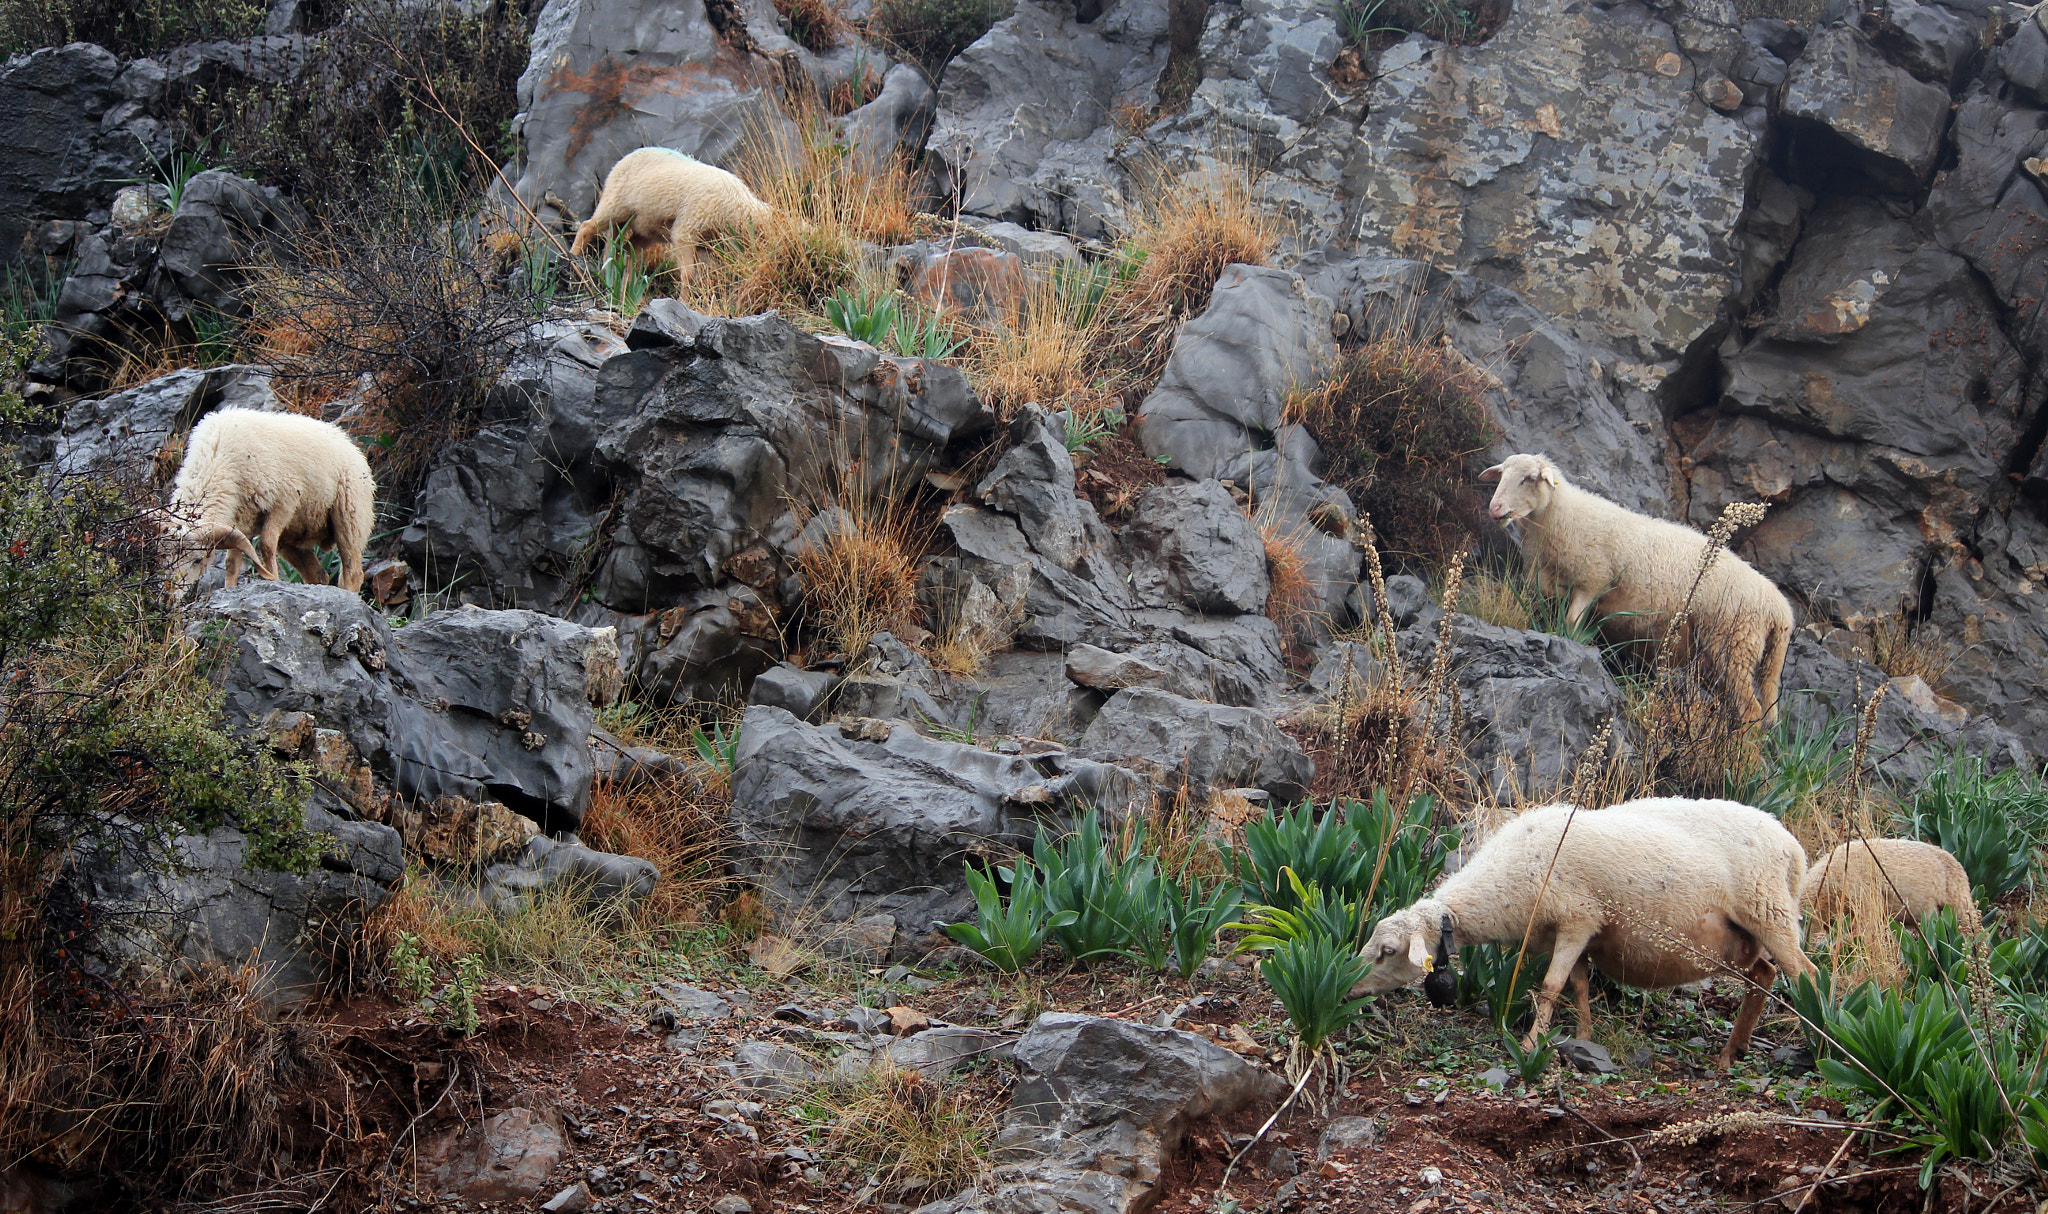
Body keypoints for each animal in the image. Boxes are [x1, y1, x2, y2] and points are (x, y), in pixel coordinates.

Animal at [166, 408, 376, 594]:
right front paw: (229, 589)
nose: (173, 595)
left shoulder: (286, 499)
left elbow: (266, 545)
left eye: (197, 559)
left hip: (350, 515)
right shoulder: (241, 519)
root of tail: (349, 443)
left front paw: (272, 579)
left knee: (353, 571)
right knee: (318, 575)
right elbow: (232, 561)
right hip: (295, 537)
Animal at [568, 147, 773, 285]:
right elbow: (688, 274)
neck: (735, 205)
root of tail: (626, 156)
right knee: (587, 226)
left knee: (626, 248)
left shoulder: (707, 242)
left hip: (644, 228)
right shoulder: (687, 229)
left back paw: (621, 277)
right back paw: (574, 257)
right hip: (616, 204)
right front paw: (685, 300)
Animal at [1353, 796, 1815, 1067]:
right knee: (1764, 975)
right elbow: (1577, 986)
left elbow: (1551, 986)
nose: (1350, 988)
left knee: (1804, 975)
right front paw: (1583, 1036)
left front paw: (1530, 1045)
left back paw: (1818, 1044)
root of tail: (1793, 848)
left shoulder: (1579, 918)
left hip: (1768, 910)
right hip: (1738, 939)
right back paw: (1731, 1052)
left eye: (1387, 950)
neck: (1506, 880)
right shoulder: (1572, 935)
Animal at [1480, 453, 1793, 726]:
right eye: (1502, 474)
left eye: (1529, 478)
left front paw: (1571, 644)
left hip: (1735, 642)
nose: (1495, 510)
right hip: (1717, 657)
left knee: (1751, 711)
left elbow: (1571, 624)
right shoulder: (1552, 586)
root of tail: (1781, 610)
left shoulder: (1592, 580)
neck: (1559, 517)